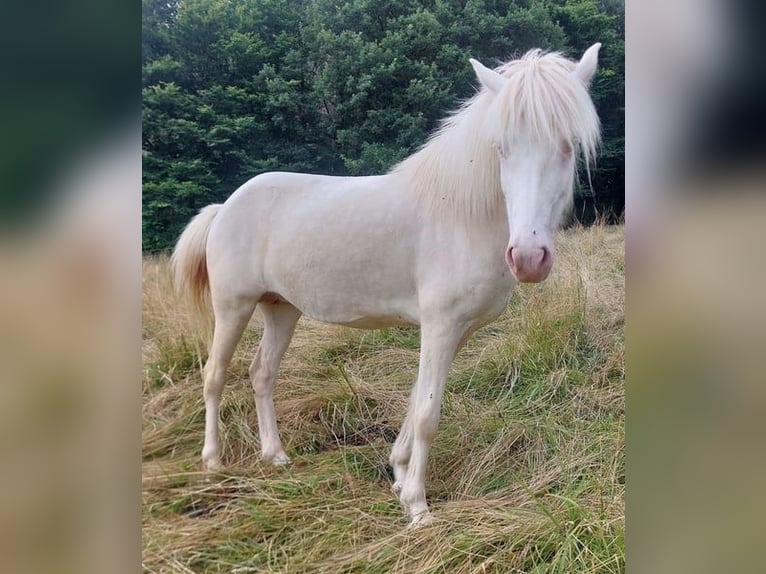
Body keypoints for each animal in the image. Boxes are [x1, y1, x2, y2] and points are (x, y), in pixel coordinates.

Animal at [171, 44, 602, 526]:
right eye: (501, 148)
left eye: (569, 145)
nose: (528, 258)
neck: (462, 213)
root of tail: (225, 206)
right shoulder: (439, 326)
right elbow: (428, 413)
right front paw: (417, 505)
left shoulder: (453, 332)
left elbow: (416, 401)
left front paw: (397, 473)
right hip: (234, 306)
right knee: (214, 375)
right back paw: (213, 461)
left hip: (280, 307)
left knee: (262, 373)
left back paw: (275, 455)